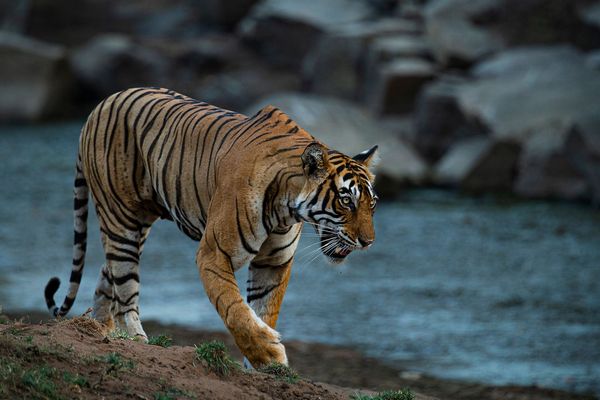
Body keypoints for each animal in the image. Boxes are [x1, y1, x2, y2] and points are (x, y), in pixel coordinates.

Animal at [44, 88, 378, 368]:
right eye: (346, 201)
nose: (369, 242)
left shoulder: (274, 263)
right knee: (125, 288)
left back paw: (100, 332)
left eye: (372, 203)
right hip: (121, 218)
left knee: (107, 273)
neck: (286, 207)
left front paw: (261, 367)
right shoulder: (214, 253)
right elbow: (235, 309)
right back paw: (136, 340)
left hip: (138, 225)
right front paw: (269, 354)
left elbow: (264, 310)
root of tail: (99, 105)